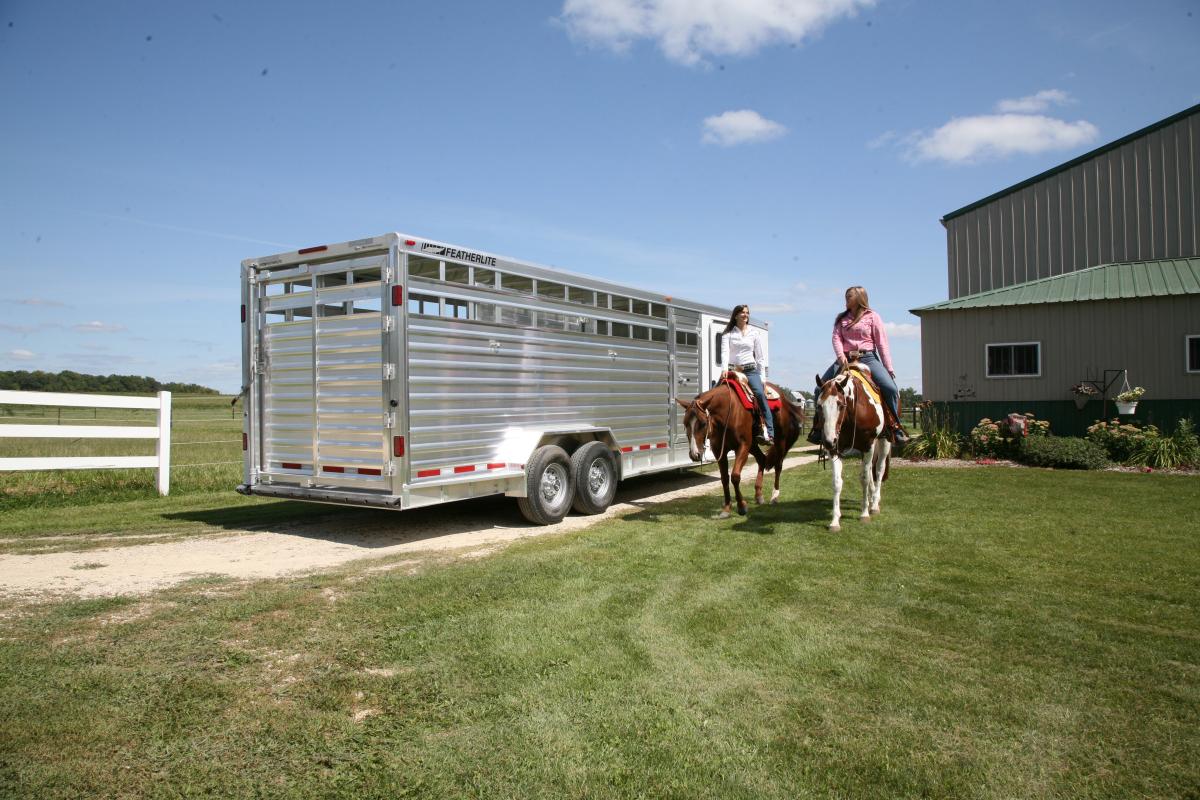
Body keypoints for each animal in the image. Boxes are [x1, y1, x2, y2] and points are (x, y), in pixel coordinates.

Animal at [681, 376, 801, 520]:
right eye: (685, 424)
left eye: (703, 423)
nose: (695, 454)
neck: (728, 410)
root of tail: (783, 397)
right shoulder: (719, 450)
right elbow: (724, 479)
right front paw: (726, 509)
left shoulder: (743, 446)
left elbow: (735, 476)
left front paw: (742, 507)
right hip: (753, 445)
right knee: (762, 459)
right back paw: (759, 496)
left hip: (780, 440)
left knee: (778, 465)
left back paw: (775, 496)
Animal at [816, 364, 892, 532]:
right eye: (819, 405)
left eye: (840, 404)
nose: (828, 441)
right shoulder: (835, 450)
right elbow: (837, 482)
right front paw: (835, 521)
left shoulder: (868, 445)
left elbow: (864, 478)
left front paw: (864, 514)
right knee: (870, 470)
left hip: (884, 441)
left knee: (878, 469)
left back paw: (874, 504)